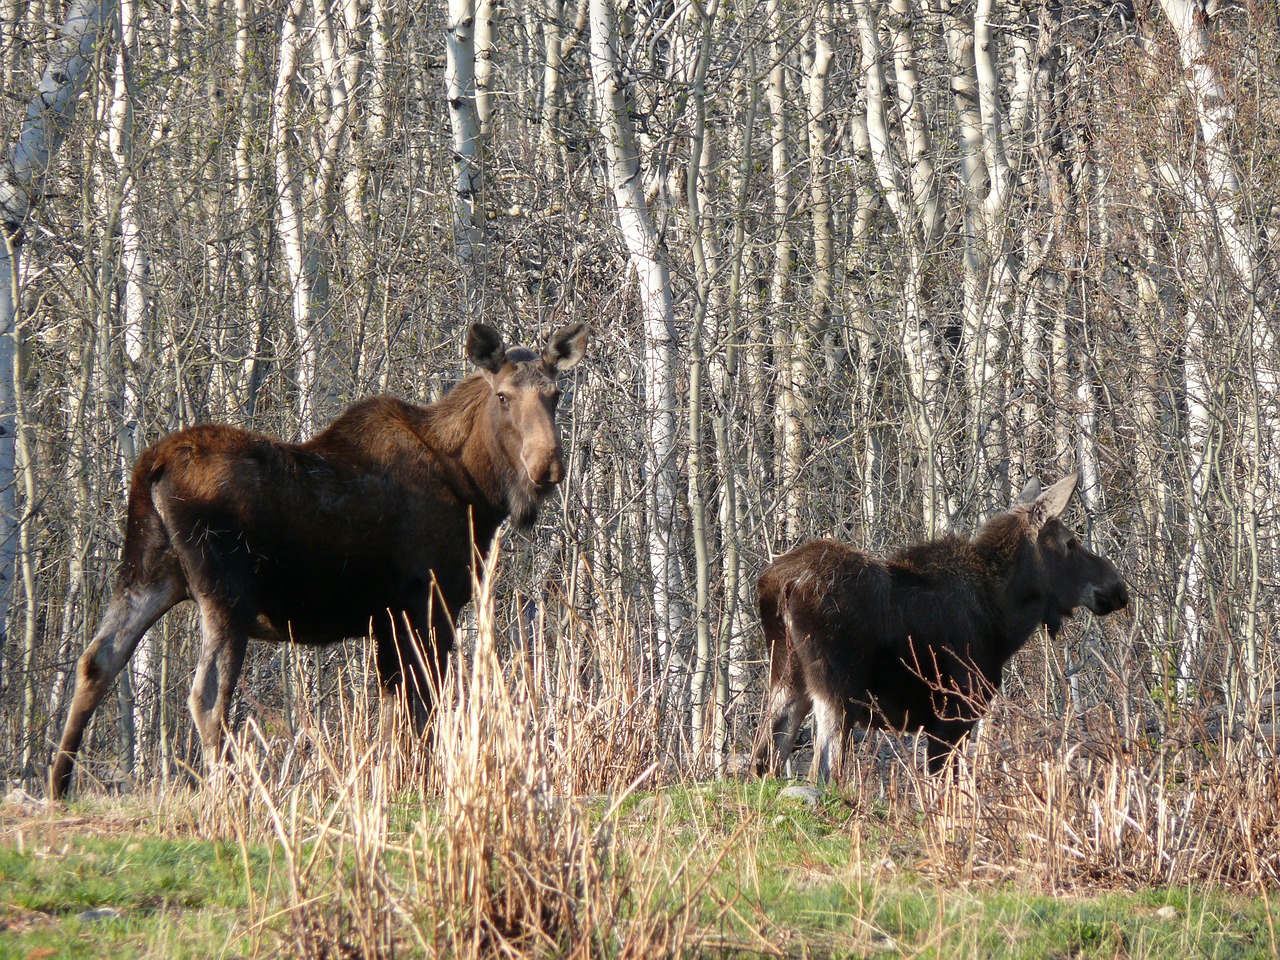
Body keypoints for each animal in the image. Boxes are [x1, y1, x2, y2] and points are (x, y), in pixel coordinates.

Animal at [48, 325, 588, 803]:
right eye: (503, 397)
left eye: (557, 394)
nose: (548, 465)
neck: (477, 488)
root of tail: (151, 466)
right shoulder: (431, 604)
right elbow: (427, 707)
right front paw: (429, 784)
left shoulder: (387, 621)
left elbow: (395, 713)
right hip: (226, 597)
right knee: (206, 695)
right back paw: (228, 793)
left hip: (148, 574)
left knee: (97, 660)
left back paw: (58, 784)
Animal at [752, 473, 1126, 783]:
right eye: (1070, 543)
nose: (1118, 586)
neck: (1004, 622)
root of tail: (782, 584)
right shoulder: (953, 715)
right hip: (836, 688)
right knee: (823, 770)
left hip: (787, 678)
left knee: (762, 761)